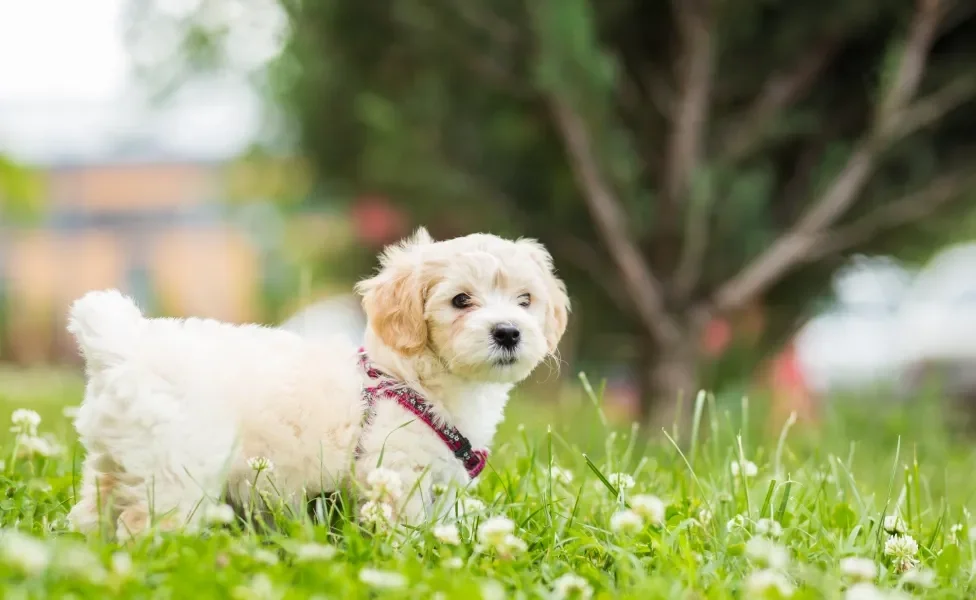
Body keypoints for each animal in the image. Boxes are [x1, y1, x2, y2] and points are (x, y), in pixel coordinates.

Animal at [66, 231, 572, 540]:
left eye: (526, 300)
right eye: (460, 300)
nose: (508, 331)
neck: (413, 380)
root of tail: (122, 346)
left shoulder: (441, 484)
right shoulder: (397, 471)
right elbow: (404, 528)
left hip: (114, 463)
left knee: (94, 510)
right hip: (175, 474)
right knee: (146, 525)